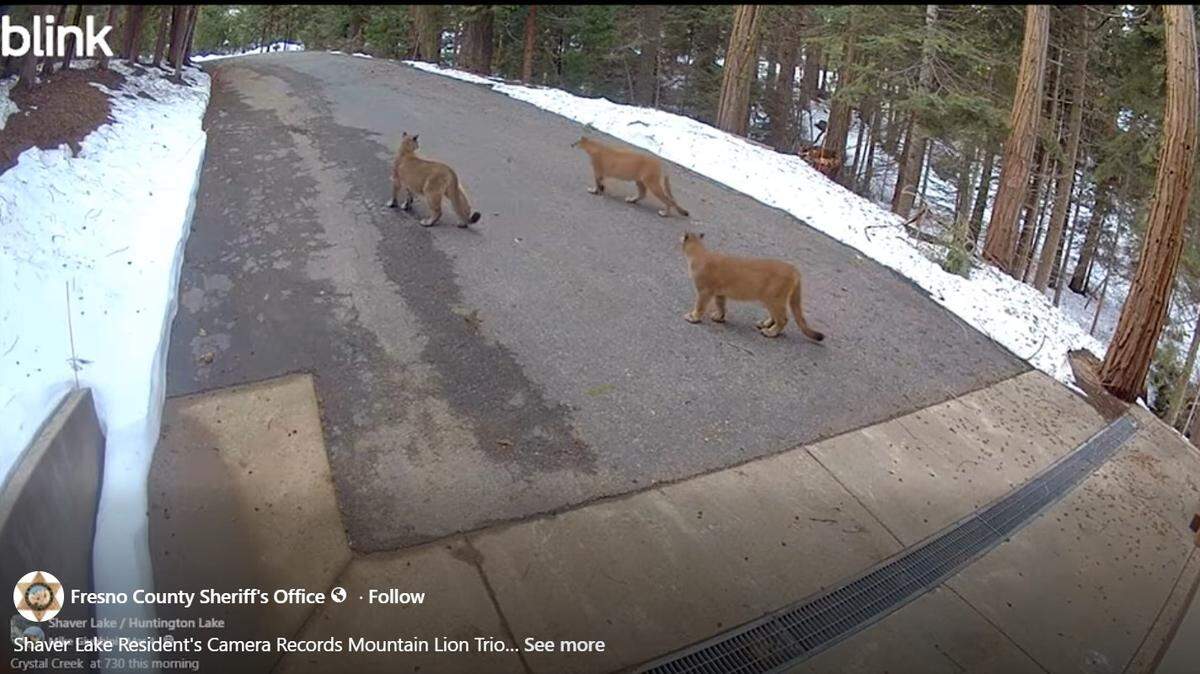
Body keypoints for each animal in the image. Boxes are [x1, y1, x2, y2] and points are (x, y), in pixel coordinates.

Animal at [680, 231, 825, 341]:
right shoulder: (720, 293)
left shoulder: (704, 291)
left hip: (774, 299)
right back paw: (764, 324)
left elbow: (700, 306)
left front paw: (693, 317)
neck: (699, 252)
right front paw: (719, 317)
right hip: (770, 300)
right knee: (776, 316)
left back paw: (770, 332)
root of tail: (794, 269)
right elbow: (721, 306)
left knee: (783, 319)